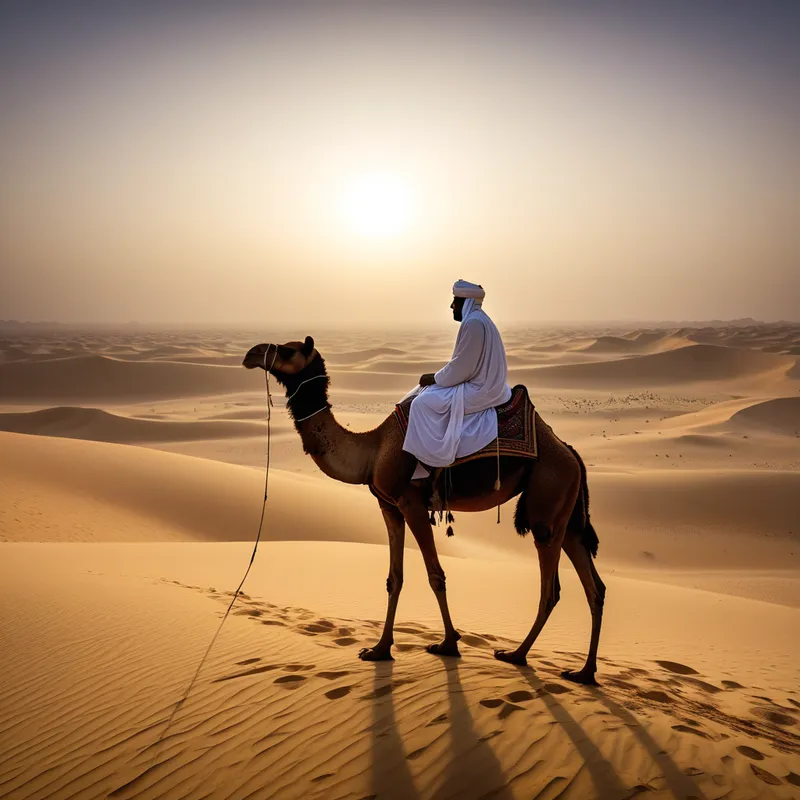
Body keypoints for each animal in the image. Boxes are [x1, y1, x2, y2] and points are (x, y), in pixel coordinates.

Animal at [242, 337, 606, 684]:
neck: (373, 450)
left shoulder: (411, 503)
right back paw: (584, 673)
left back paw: (517, 655)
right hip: (567, 517)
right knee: (594, 587)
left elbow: (435, 575)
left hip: (547, 500)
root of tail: (570, 452)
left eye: (287, 351)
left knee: (551, 588)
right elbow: (394, 578)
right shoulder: (388, 505)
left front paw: (448, 644)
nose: (251, 354)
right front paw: (379, 649)